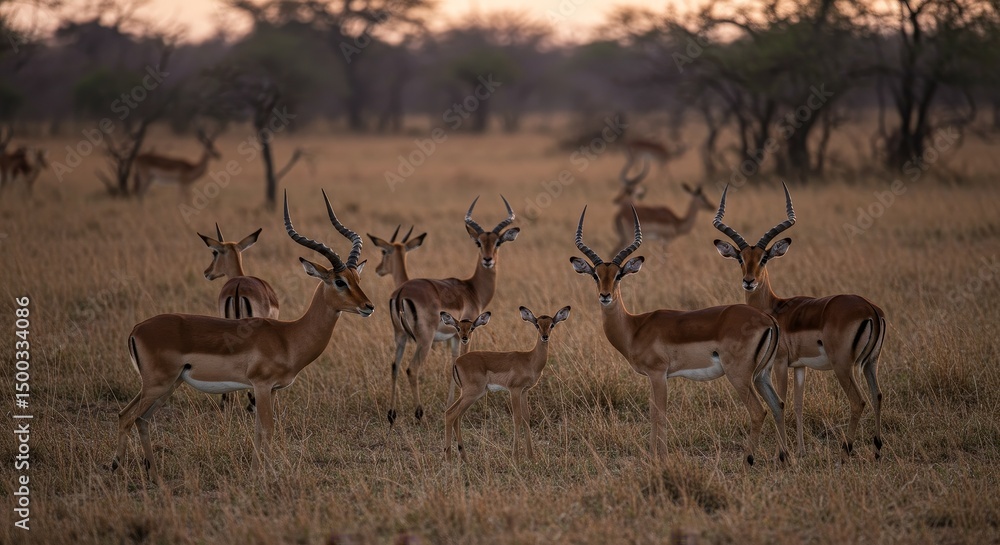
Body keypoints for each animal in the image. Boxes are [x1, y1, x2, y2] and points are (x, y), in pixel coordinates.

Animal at [387, 196, 519, 425]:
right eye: (478, 242)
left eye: (498, 242)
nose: (488, 260)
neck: (472, 288)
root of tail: (402, 291)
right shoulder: (465, 334)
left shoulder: (453, 338)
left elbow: (452, 365)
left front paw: (449, 404)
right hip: (424, 340)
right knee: (412, 369)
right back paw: (419, 414)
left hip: (400, 336)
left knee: (395, 366)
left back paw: (392, 415)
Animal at [445, 306, 570, 462]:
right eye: (537, 325)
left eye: (551, 325)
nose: (545, 336)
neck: (530, 360)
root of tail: (457, 361)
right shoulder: (514, 390)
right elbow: (517, 418)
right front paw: (515, 457)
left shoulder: (524, 391)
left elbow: (526, 418)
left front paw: (531, 456)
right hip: (471, 393)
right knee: (451, 415)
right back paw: (449, 458)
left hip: (469, 394)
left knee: (452, 413)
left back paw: (463, 458)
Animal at [570, 207, 789, 465]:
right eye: (596, 275)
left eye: (618, 275)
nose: (605, 296)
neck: (634, 328)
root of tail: (768, 320)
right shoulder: (653, 377)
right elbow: (653, 415)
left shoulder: (658, 375)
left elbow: (660, 415)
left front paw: (661, 459)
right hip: (762, 374)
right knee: (778, 405)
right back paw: (784, 457)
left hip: (740, 376)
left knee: (758, 411)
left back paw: (748, 460)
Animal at [712, 184, 886, 460]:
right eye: (741, 258)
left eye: (764, 258)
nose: (749, 281)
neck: (774, 308)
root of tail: (870, 309)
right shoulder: (800, 366)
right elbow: (798, 404)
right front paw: (801, 451)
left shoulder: (780, 363)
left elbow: (781, 402)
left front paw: (782, 453)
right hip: (871, 362)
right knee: (877, 395)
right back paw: (877, 449)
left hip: (843, 366)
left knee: (858, 400)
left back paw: (846, 450)